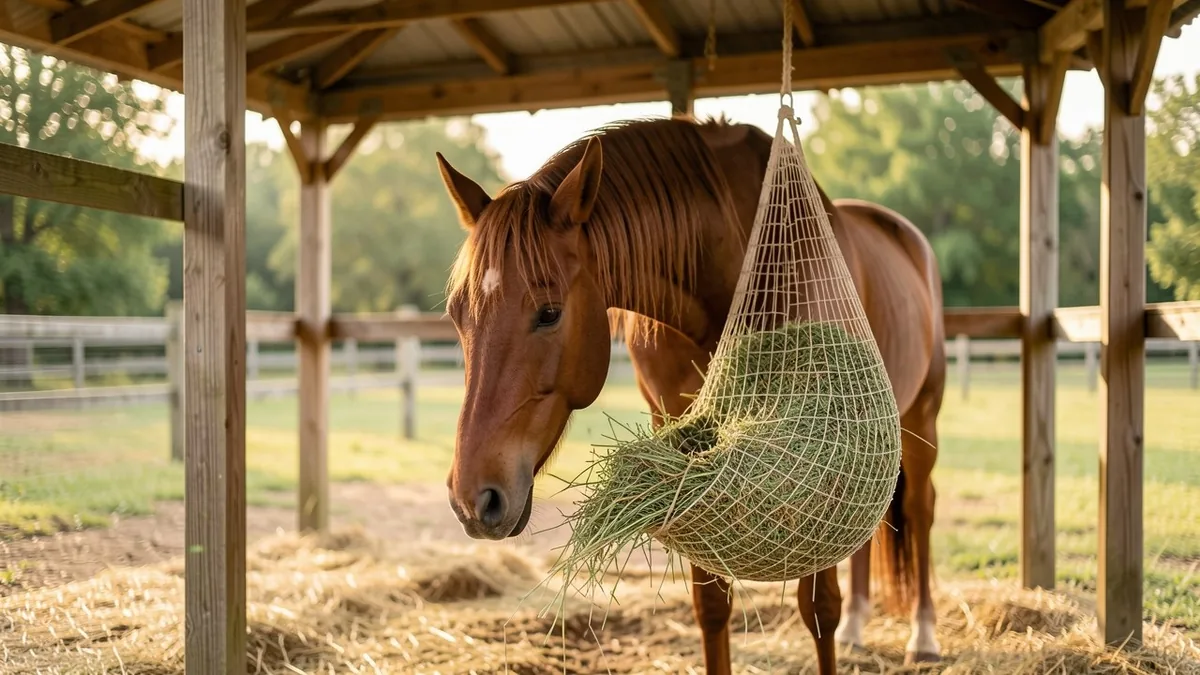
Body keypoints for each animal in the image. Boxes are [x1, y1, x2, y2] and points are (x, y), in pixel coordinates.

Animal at [436, 116, 946, 674]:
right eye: (457, 314)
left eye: (549, 312)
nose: (472, 500)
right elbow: (712, 605)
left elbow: (819, 611)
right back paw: (859, 627)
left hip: (918, 421)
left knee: (920, 509)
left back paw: (923, 635)